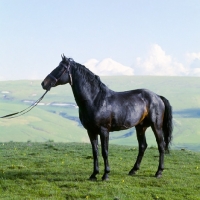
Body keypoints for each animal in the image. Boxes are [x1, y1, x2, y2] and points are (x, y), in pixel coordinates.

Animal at [41, 55, 173, 181]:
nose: (44, 83)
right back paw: (133, 170)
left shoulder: (104, 131)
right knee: (142, 146)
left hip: (156, 126)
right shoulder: (91, 131)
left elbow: (105, 152)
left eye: (61, 68)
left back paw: (159, 172)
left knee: (161, 146)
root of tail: (157, 97)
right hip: (140, 127)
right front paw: (94, 174)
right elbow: (95, 152)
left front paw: (106, 175)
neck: (95, 99)